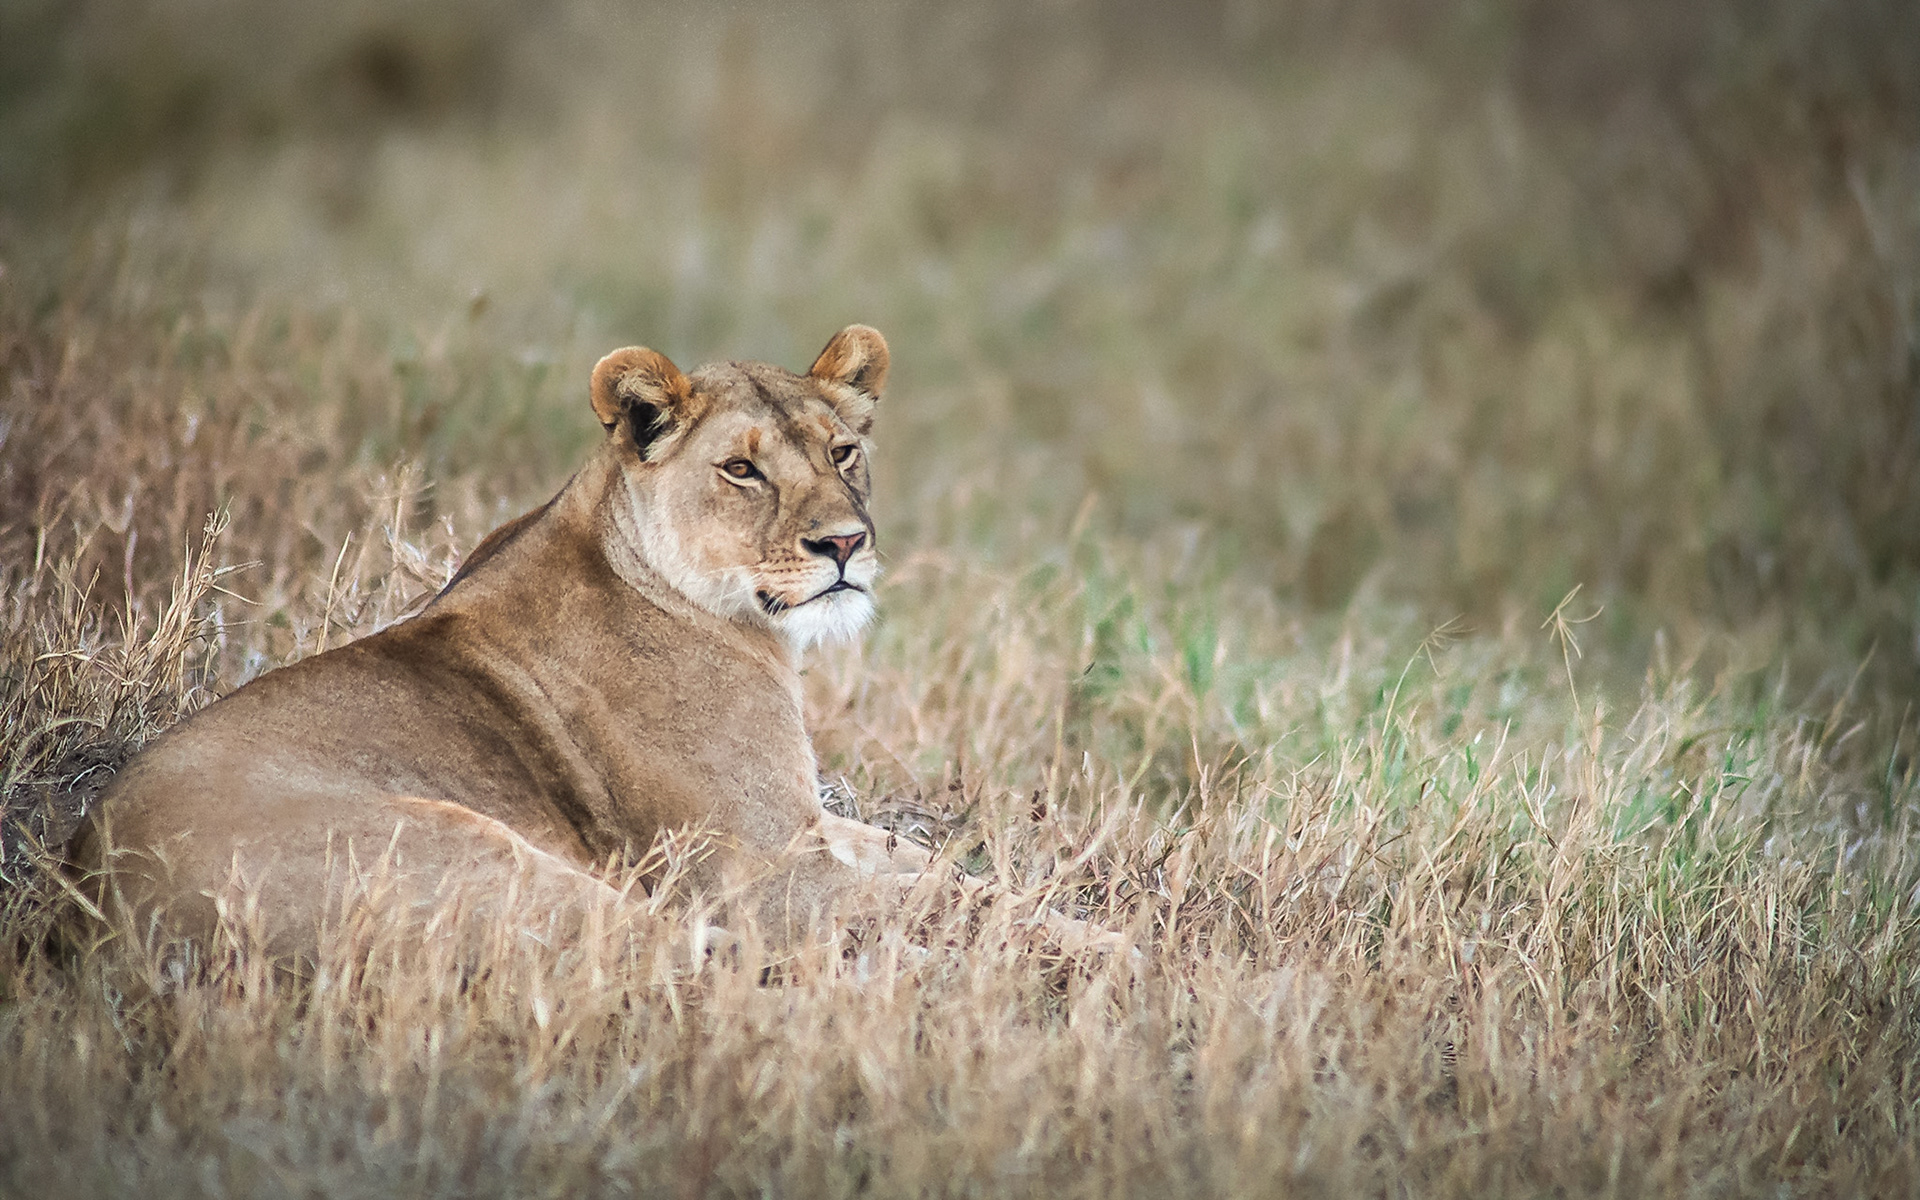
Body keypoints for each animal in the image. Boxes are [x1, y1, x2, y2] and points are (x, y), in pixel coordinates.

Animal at [75, 326, 1097, 964]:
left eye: (842, 451)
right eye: (740, 468)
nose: (844, 545)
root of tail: (93, 904)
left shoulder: (812, 827)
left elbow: (936, 868)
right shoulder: (761, 874)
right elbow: (954, 904)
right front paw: (1112, 956)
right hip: (482, 854)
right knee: (676, 957)